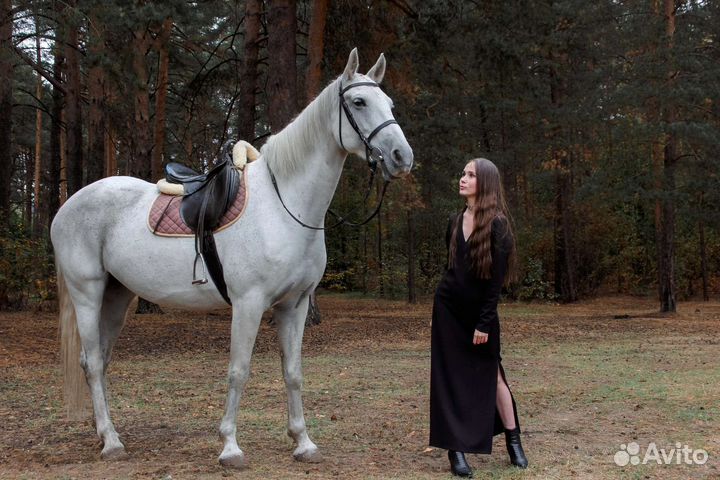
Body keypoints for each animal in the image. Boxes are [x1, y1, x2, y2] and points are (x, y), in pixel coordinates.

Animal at [51, 48, 413, 468]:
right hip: (87, 293)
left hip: (117, 295)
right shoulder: (249, 303)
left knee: (102, 360)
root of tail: (68, 206)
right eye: (358, 102)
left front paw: (303, 442)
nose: (402, 157)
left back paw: (106, 432)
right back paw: (111, 442)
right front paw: (230, 447)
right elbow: (239, 371)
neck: (284, 205)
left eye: (389, 103)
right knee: (93, 363)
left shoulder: (294, 305)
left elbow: (293, 372)